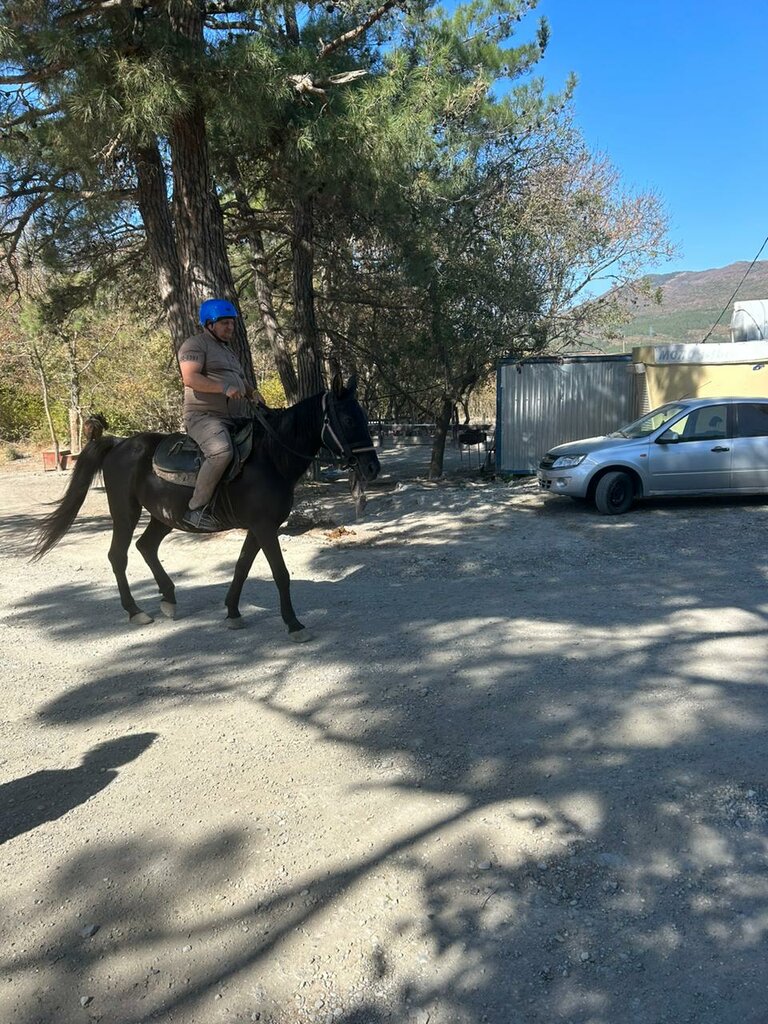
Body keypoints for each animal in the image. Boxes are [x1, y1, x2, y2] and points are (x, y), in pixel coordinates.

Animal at [33, 374, 380, 639]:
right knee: (119, 555)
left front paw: (233, 612)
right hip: (125, 512)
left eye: (364, 417)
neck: (271, 458)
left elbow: (241, 567)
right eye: (348, 418)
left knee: (146, 547)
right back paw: (135, 611)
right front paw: (294, 624)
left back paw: (169, 598)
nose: (372, 467)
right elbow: (280, 573)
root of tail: (118, 443)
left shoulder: (258, 528)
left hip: (164, 516)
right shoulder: (265, 528)